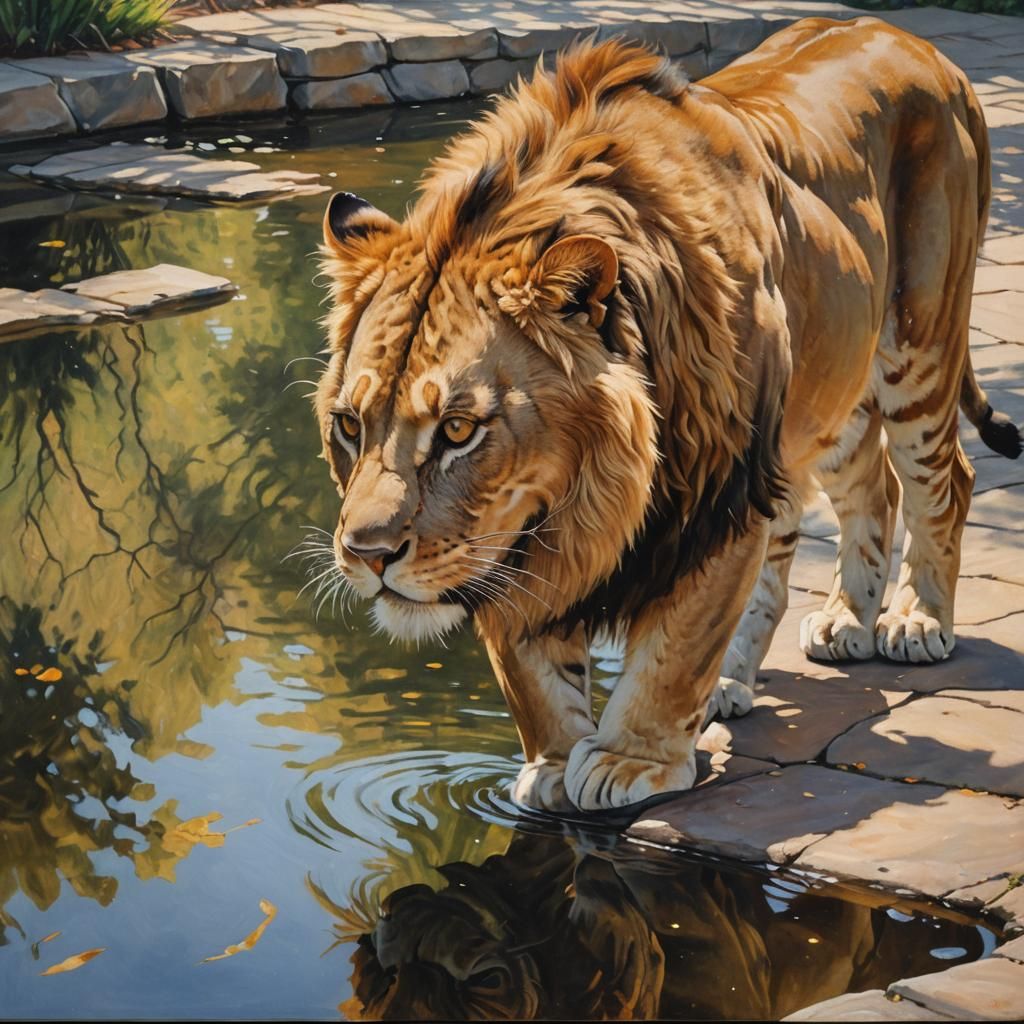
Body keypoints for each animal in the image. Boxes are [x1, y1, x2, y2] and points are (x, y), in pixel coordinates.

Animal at [314, 18, 1023, 813]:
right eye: (350, 425)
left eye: (458, 431)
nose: (367, 556)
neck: (588, 491)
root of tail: (912, 39)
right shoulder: (512, 541)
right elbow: (532, 669)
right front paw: (553, 763)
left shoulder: (723, 494)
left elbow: (675, 648)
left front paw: (629, 761)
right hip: (828, 389)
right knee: (872, 486)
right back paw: (838, 623)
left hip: (918, 345)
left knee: (946, 481)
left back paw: (915, 621)